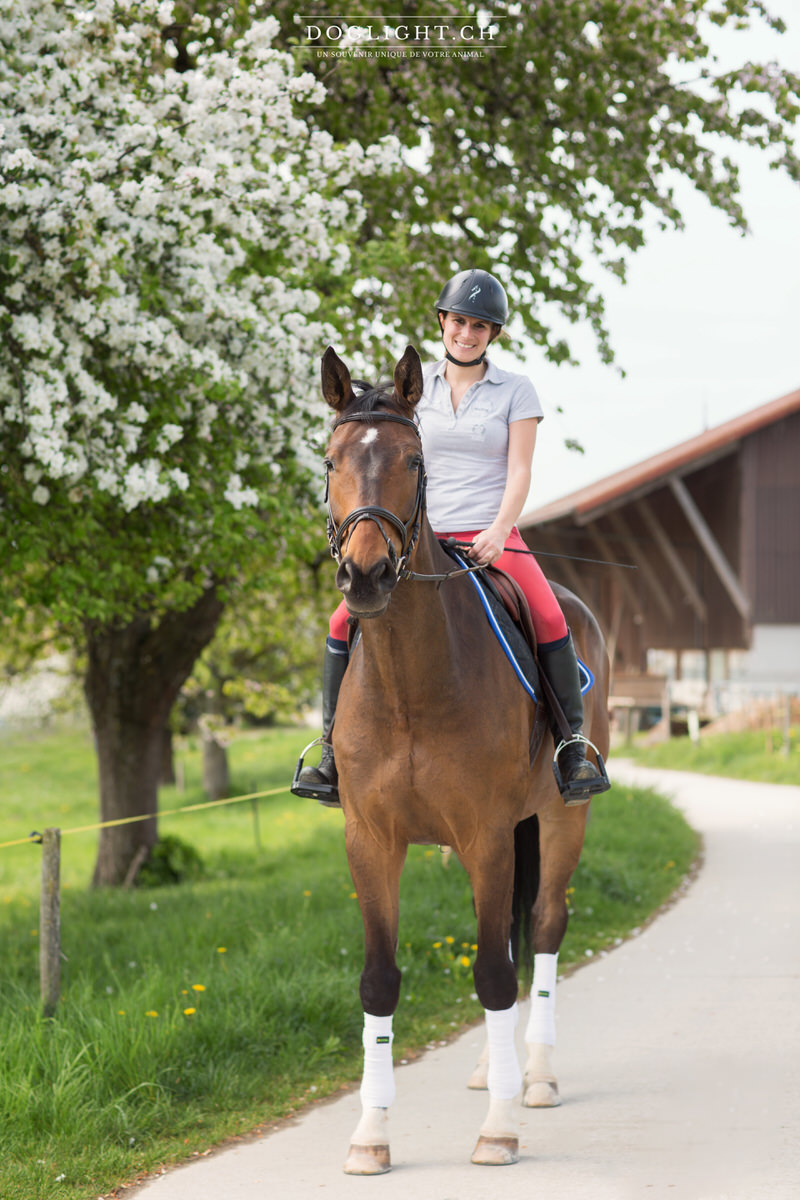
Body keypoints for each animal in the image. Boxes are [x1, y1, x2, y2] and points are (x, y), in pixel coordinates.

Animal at [316, 340, 609, 1171]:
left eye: (414, 461)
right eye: (331, 459)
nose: (365, 575)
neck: (411, 683)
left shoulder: (485, 836)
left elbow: (495, 972)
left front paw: (500, 1130)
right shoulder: (370, 840)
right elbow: (380, 982)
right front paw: (371, 1135)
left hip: (558, 821)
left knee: (540, 930)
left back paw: (532, 1077)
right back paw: (491, 1067)